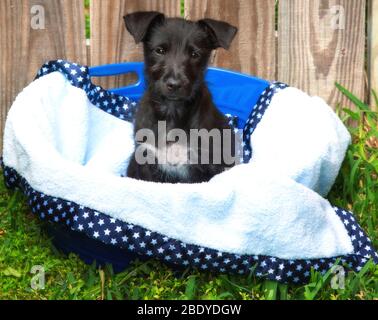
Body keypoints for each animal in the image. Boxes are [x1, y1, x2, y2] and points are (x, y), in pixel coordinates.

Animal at [124, 11, 236, 182]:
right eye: (160, 50)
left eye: (195, 54)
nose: (175, 84)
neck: (172, 111)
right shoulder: (146, 158)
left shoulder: (202, 165)